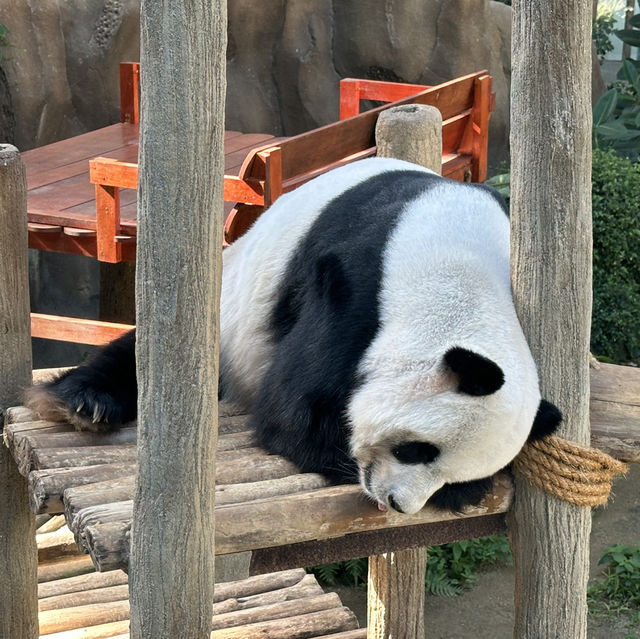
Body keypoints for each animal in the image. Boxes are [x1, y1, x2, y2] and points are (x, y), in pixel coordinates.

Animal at [27, 159, 564, 516]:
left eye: (453, 466)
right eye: (418, 449)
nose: (398, 503)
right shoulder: (351, 285)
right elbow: (293, 410)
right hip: (228, 316)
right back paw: (85, 402)